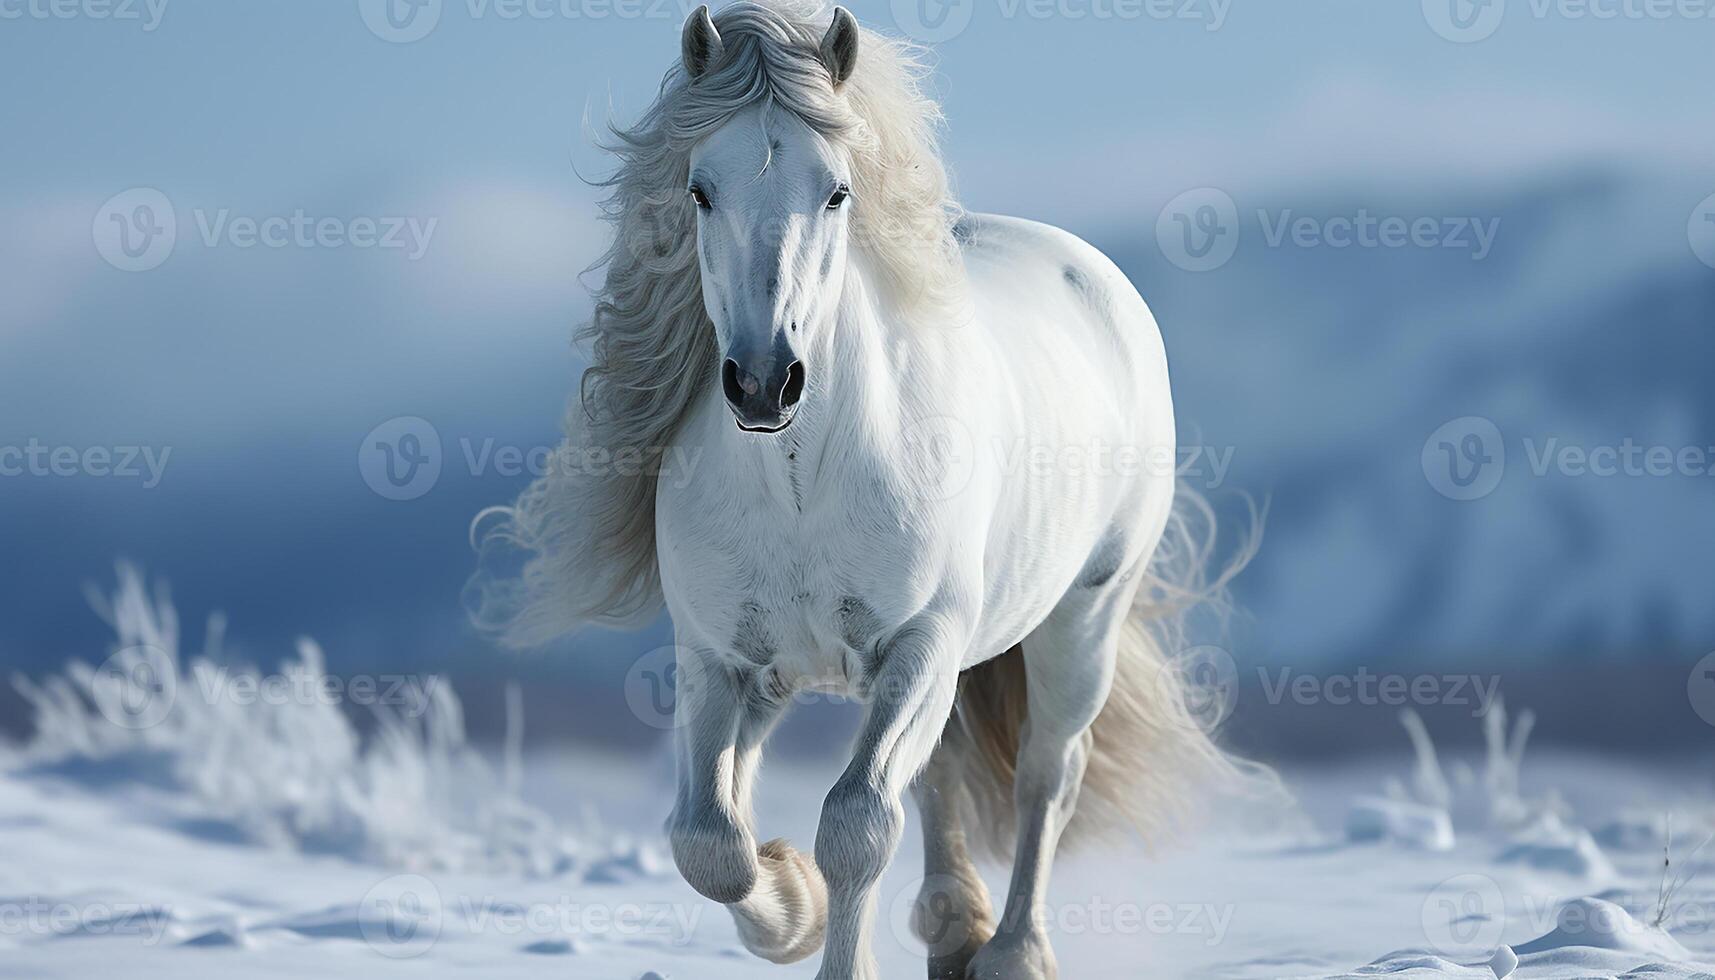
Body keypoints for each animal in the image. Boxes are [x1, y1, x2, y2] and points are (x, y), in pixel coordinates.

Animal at [476, 3, 1255, 974]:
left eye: (836, 192)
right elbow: (709, 839)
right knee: (943, 773)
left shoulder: (917, 645)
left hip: (1081, 619)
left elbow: (856, 826)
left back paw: (1010, 951)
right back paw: (954, 929)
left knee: (1046, 775)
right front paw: (791, 905)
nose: (762, 383)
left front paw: (821, 922)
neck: (801, 485)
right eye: (699, 191)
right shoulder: (726, 665)